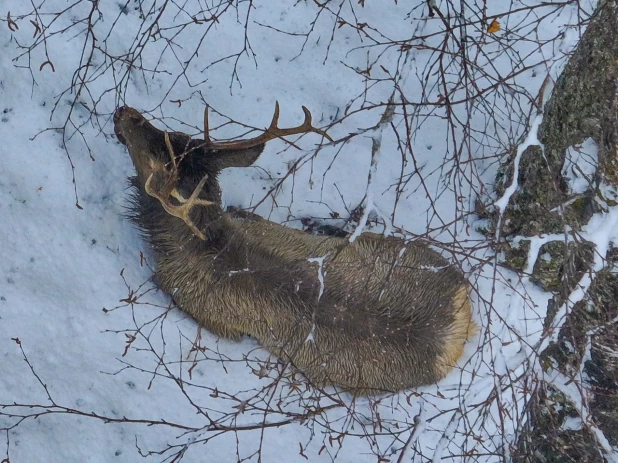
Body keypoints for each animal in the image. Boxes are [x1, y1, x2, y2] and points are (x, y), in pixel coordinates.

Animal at [113, 103, 474, 394]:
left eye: (156, 154)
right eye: (173, 134)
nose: (124, 111)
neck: (205, 243)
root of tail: (461, 330)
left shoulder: (197, 305)